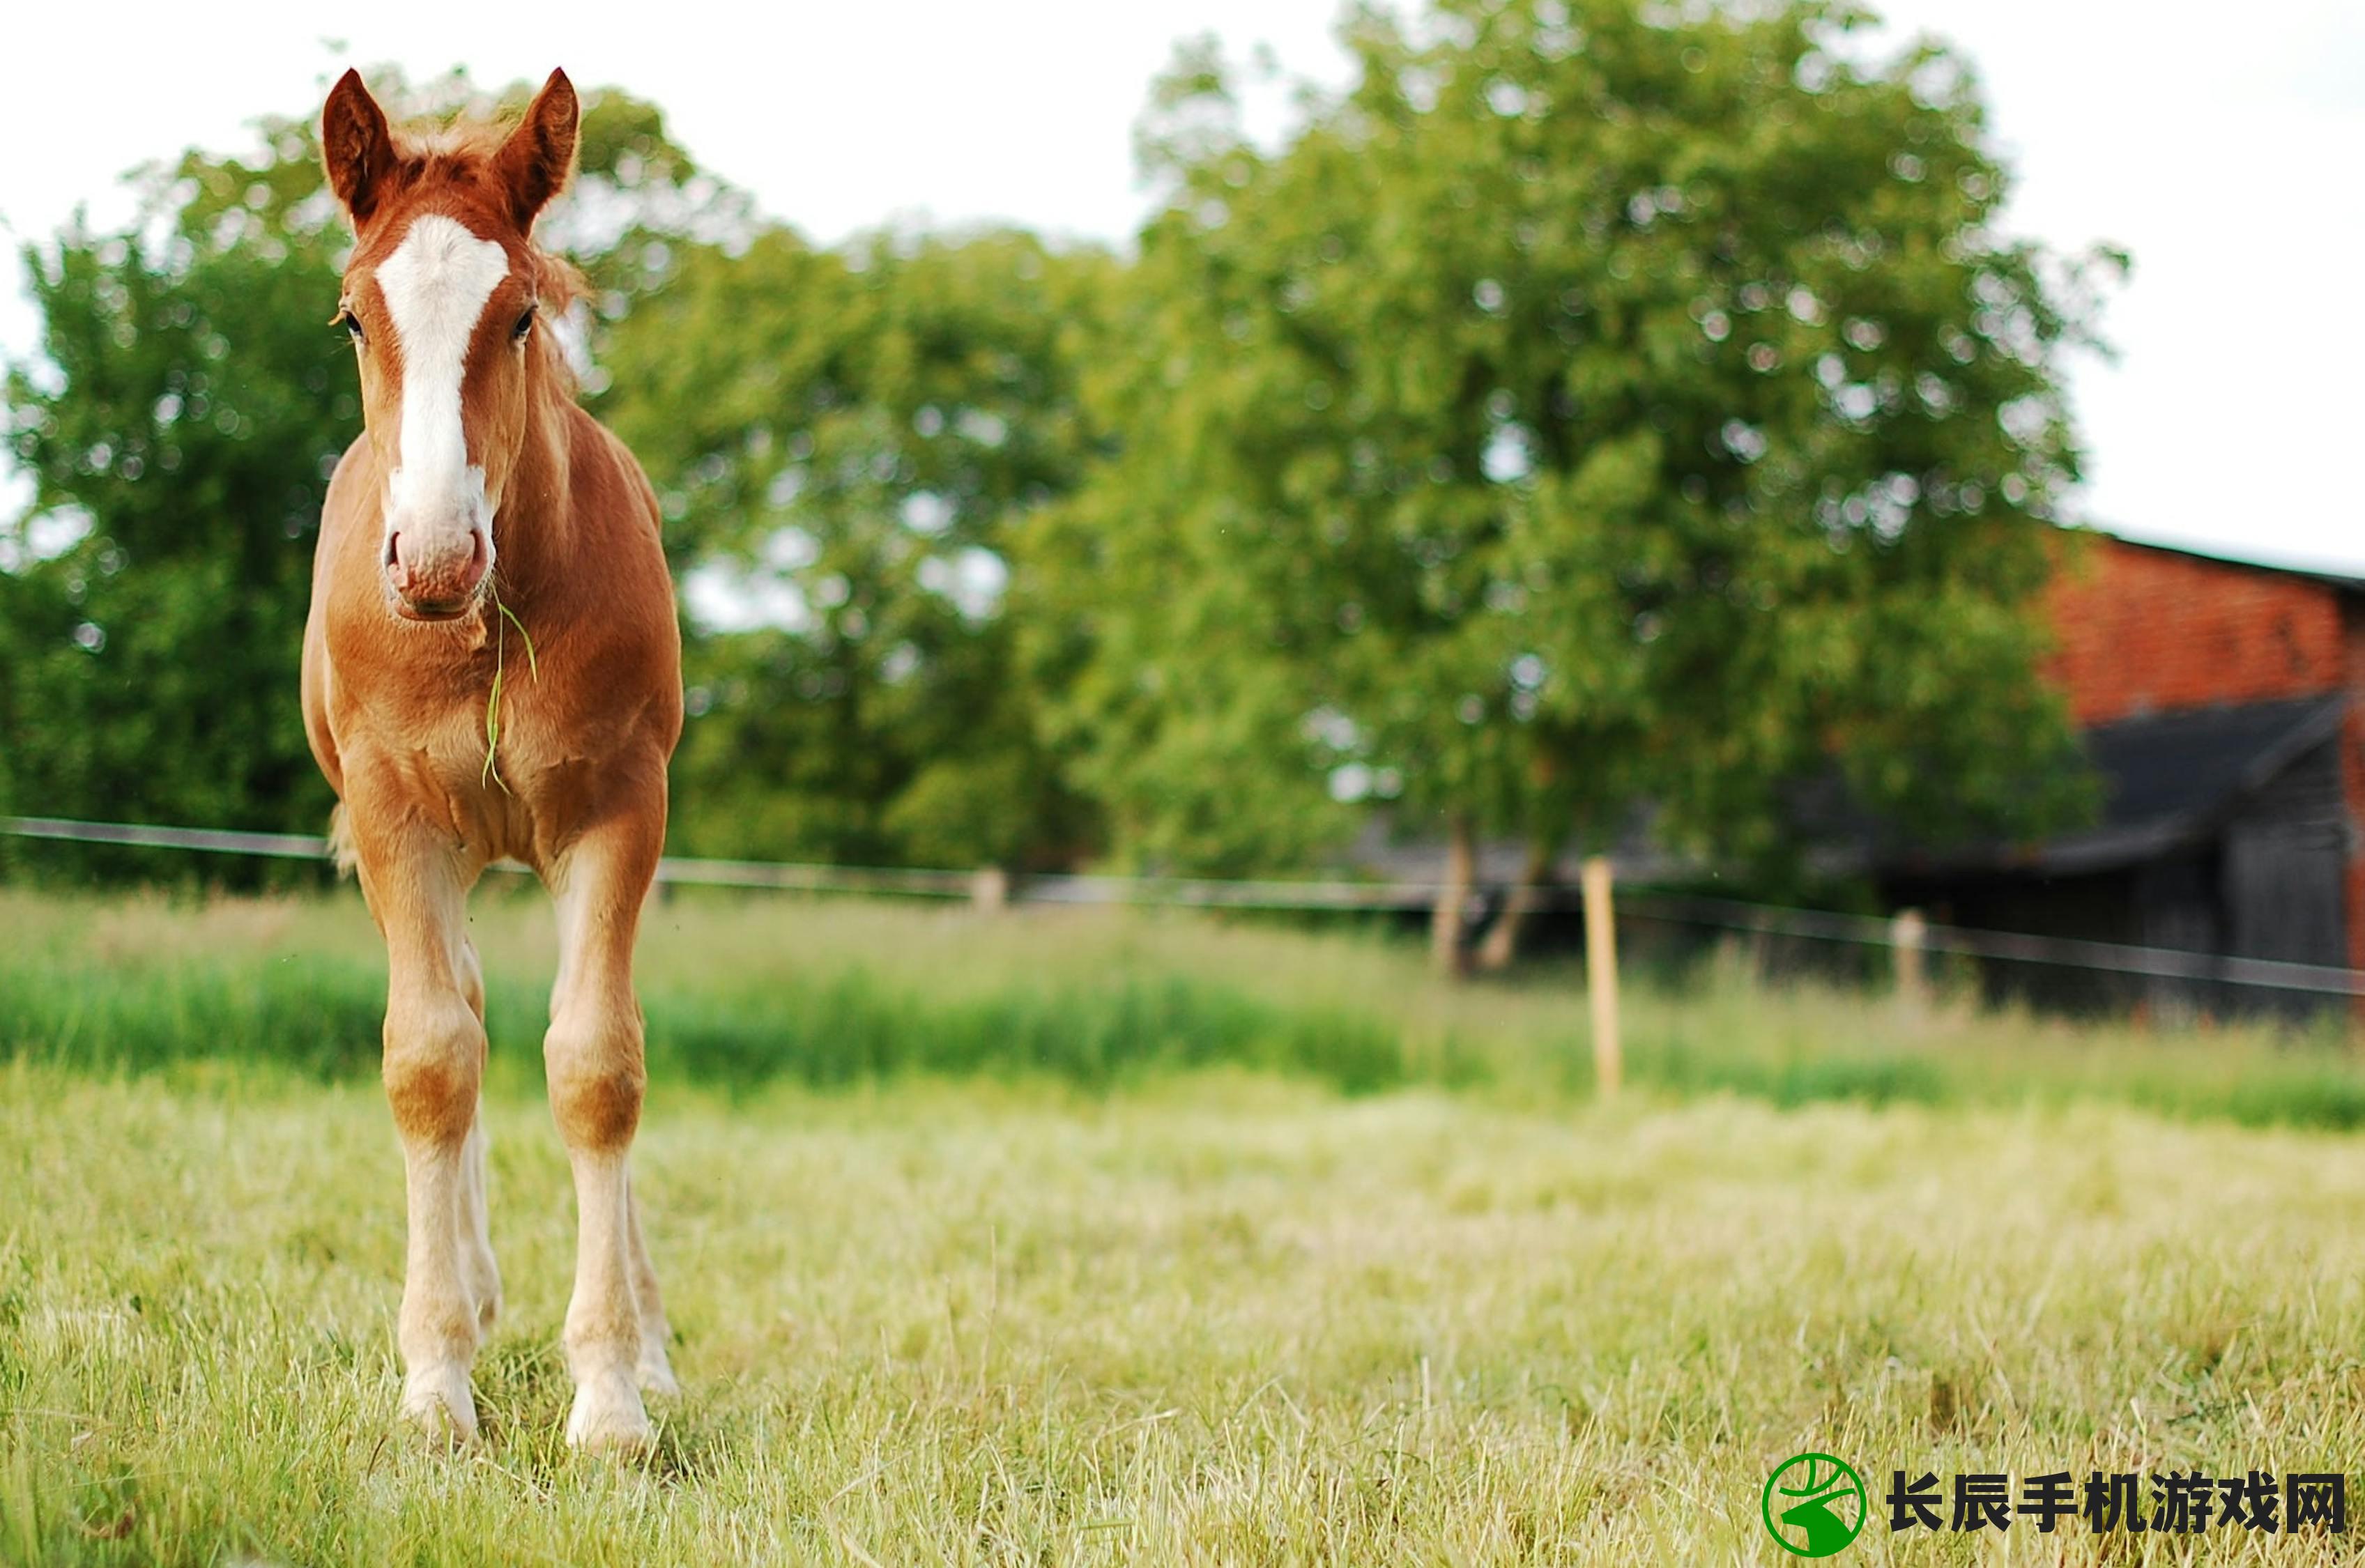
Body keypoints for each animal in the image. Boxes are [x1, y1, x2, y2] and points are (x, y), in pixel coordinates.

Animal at [300, 67, 681, 1456]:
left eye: (519, 315)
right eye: (352, 318)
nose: (431, 557)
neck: (487, 626)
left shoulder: (619, 814)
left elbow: (598, 1064)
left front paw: (614, 1397)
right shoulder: (397, 820)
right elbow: (428, 1062)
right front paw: (434, 1386)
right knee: (453, 1011)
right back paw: (466, 1290)